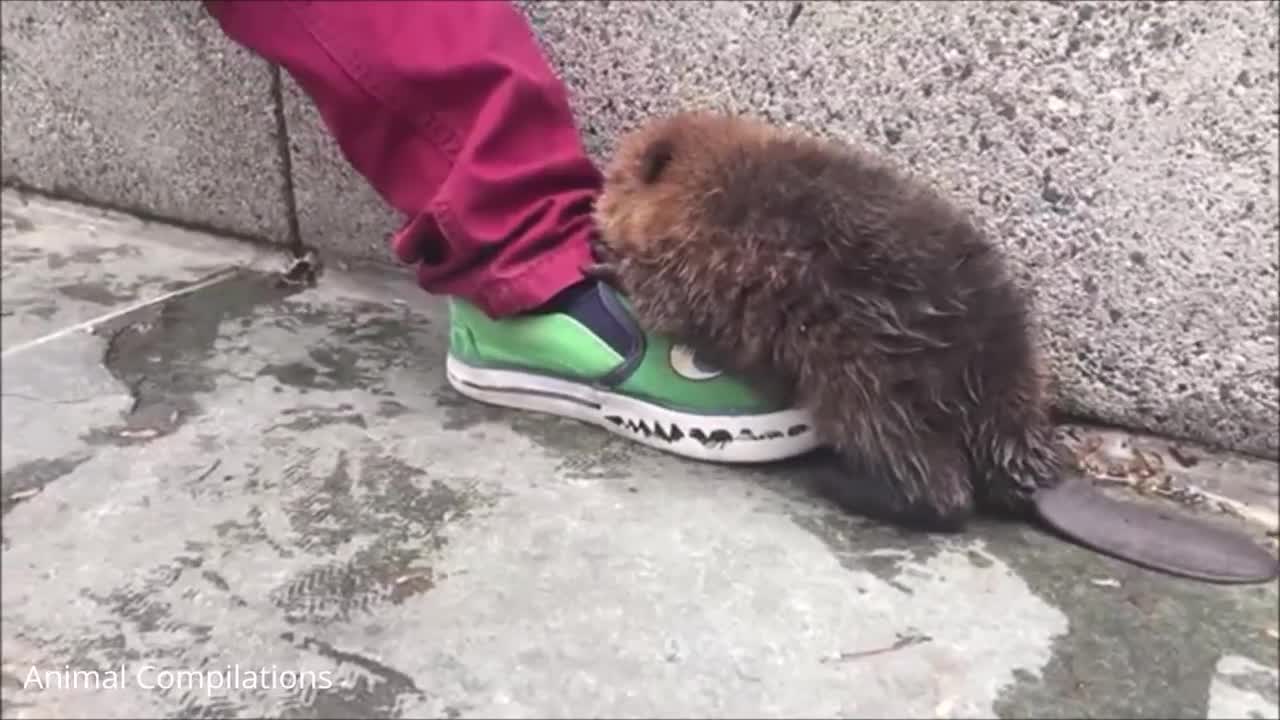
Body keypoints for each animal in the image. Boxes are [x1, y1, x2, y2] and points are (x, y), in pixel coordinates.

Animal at [588, 110, 1280, 584]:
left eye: (618, 176)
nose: (598, 197)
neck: (710, 186)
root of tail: (1036, 469)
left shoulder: (695, 266)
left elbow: (661, 303)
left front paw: (602, 258)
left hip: (864, 380)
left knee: (940, 494)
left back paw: (836, 481)